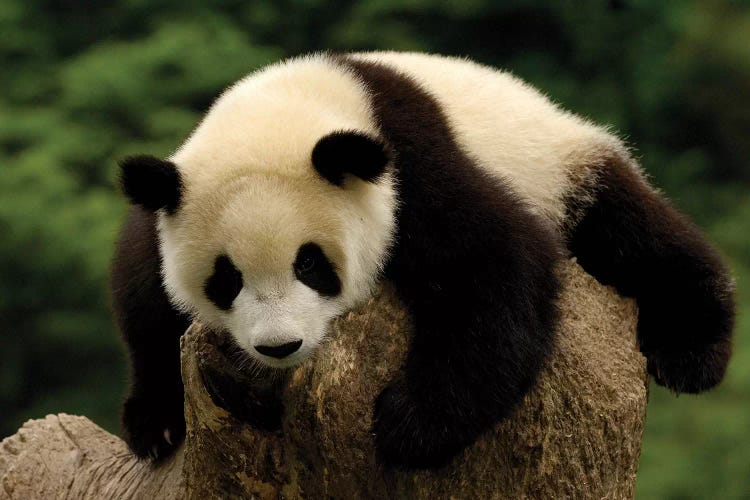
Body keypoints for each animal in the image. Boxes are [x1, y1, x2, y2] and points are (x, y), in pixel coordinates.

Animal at [111, 52, 736, 470]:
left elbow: (495, 262)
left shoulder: (408, 167)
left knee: (636, 234)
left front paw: (409, 424)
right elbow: (145, 299)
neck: (290, 107)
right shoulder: (167, 197)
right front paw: (157, 423)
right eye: (227, 278)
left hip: (562, 169)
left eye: (311, 264)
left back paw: (692, 352)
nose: (280, 346)